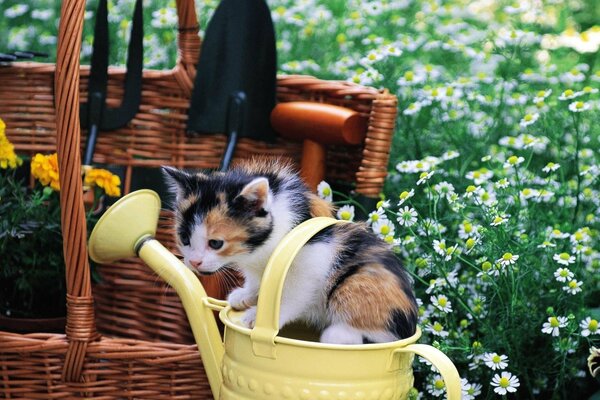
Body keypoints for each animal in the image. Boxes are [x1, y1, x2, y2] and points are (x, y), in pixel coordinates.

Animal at [163, 159, 418, 344]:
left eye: (216, 243)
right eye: (184, 239)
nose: (194, 262)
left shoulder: (312, 258)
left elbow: (295, 294)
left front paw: (260, 316)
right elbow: (260, 280)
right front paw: (248, 295)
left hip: (360, 280)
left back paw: (339, 335)